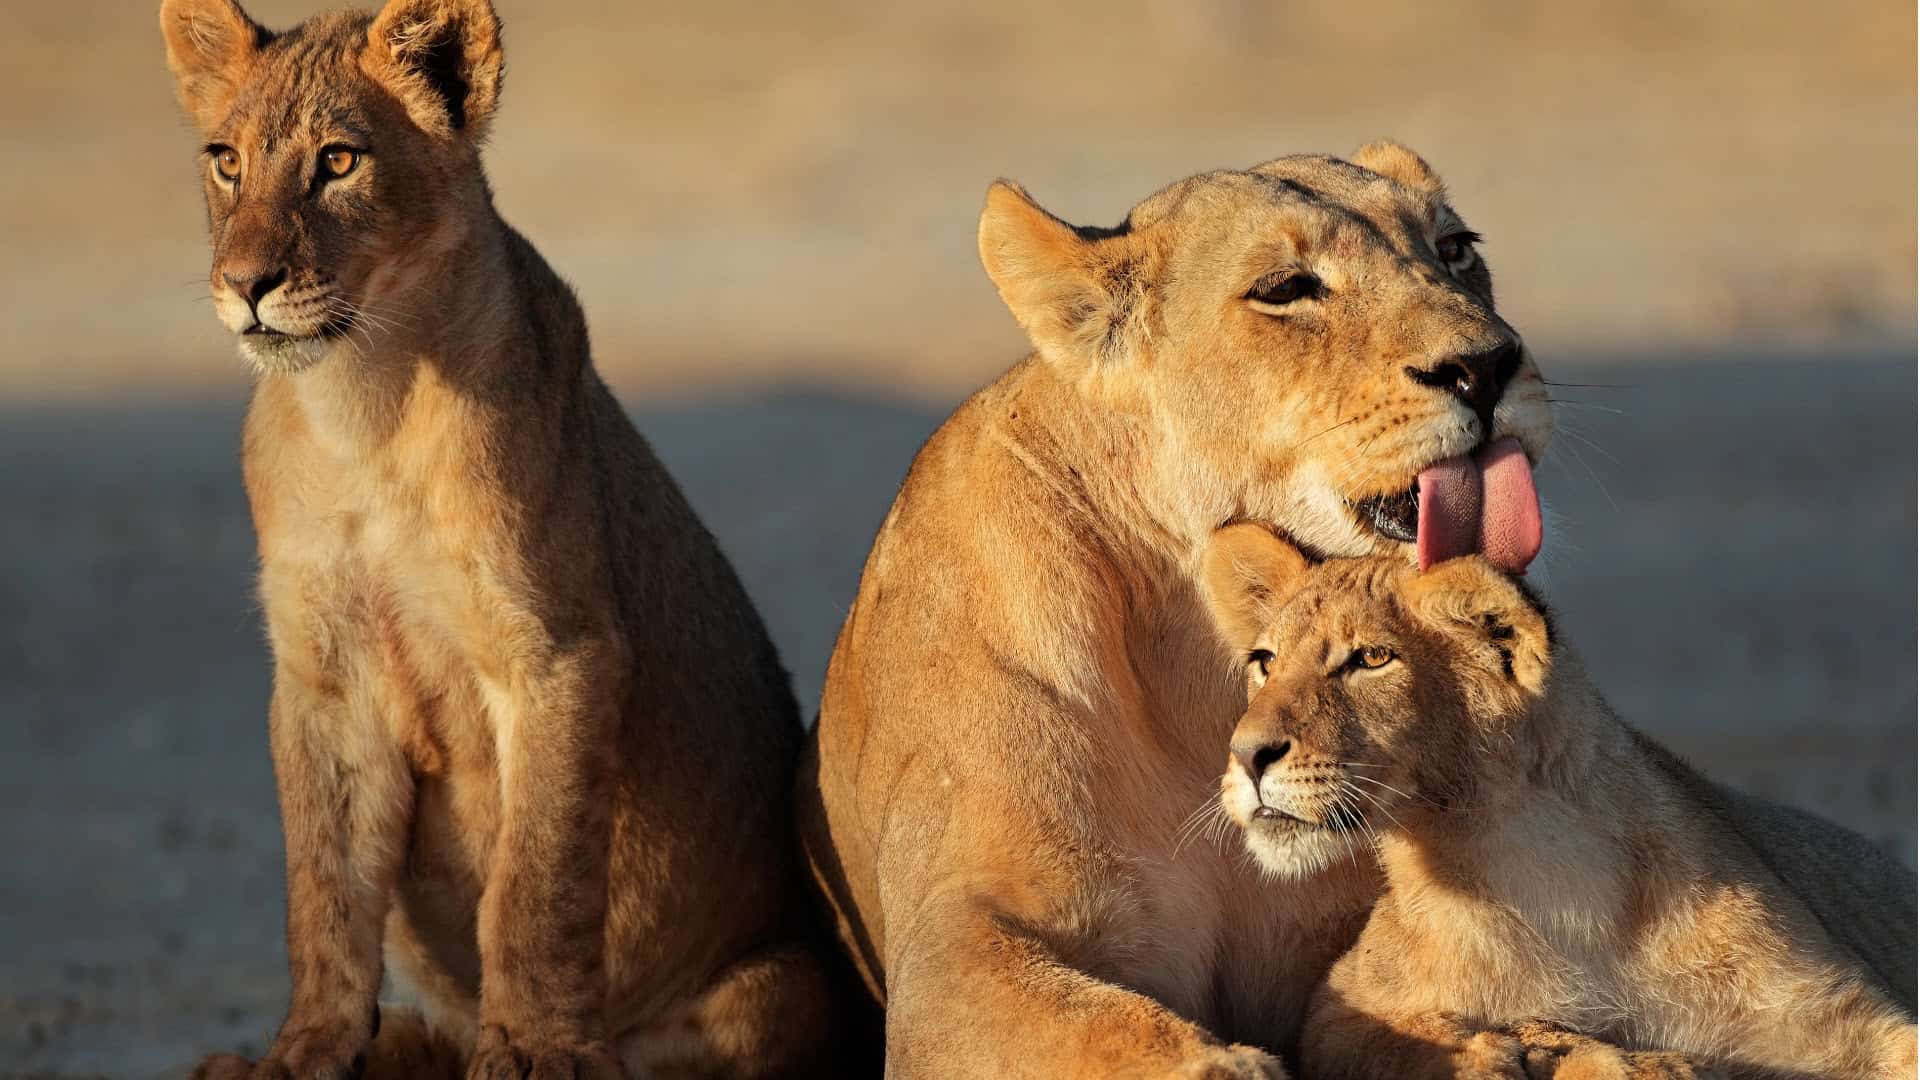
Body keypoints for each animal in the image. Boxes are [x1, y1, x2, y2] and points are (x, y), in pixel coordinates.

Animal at [160, 1, 852, 1075]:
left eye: (338, 161)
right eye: (226, 161)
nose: (247, 284)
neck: (362, 408)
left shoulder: (559, 652)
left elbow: (535, 880)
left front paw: (536, 1050)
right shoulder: (323, 674)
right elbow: (324, 892)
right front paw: (303, 1051)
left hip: (786, 984)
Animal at [798, 144, 1558, 1076]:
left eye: (1455, 249)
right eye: (1286, 288)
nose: (1487, 367)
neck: (1200, 658)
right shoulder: (951, 950)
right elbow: (1102, 1028)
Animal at [1200, 523, 1918, 1080]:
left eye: (1372, 659)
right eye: (1265, 661)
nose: (1246, 754)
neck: (1546, 876)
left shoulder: (1850, 1018)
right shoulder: (1343, 999)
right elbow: (1388, 1039)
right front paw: (1523, 1054)